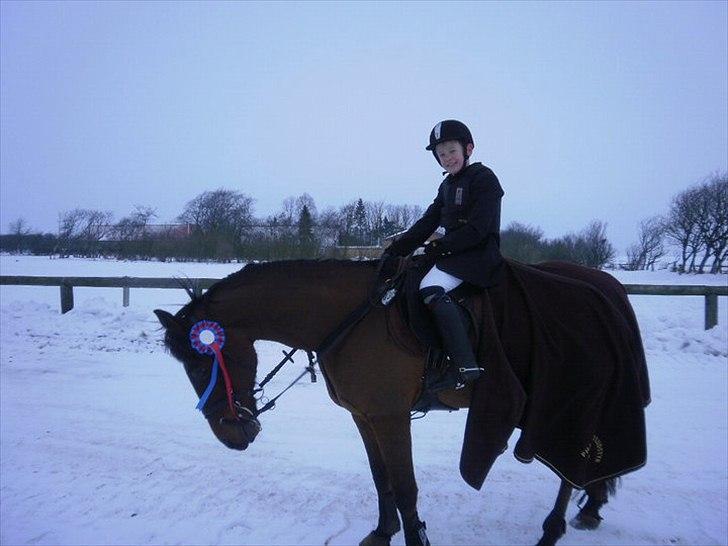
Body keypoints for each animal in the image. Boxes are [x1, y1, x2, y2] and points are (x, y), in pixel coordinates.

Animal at [154, 258, 648, 546]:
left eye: (201, 363)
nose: (232, 435)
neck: (350, 318)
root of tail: (606, 292)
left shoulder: (391, 418)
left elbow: (406, 485)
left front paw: (412, 538)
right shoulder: (365, 416)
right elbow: (382, 479)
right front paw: (381, 533)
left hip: (569, 400)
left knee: (570, 466)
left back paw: (553, 529)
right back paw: (589, 509)